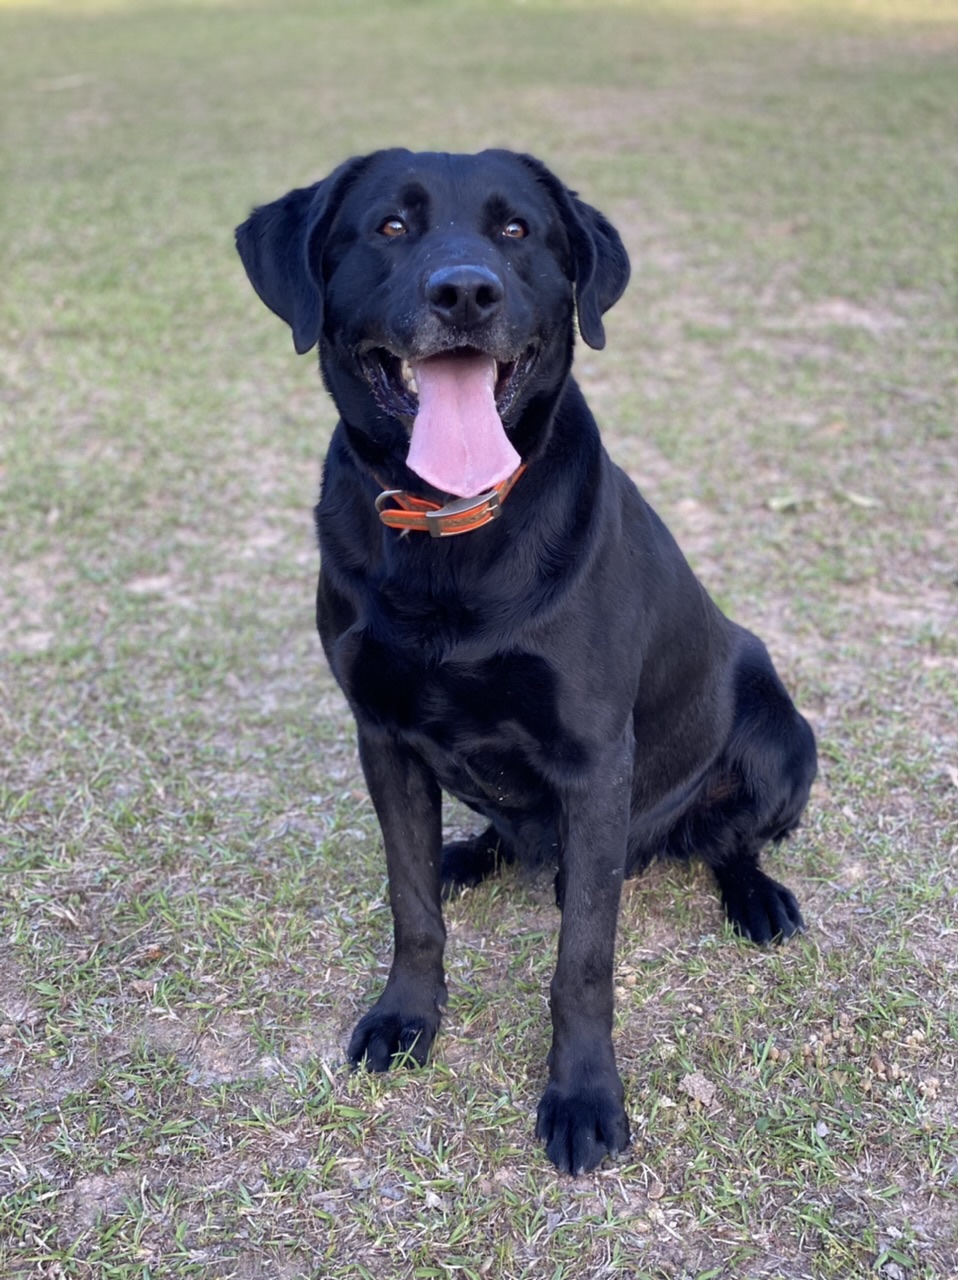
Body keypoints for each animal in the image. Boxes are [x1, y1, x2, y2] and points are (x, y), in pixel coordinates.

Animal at [234, 147, 814, 1172]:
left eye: (517, 230)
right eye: (391, 226)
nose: (466, 291)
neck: (452, 527)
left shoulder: (595, 762)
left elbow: (582, 960)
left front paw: (583, 1095)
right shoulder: (382, 736)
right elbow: (410, 902)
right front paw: (406, 1016)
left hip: (781, 732)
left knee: (730, 839)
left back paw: (756, 898)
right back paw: (470, 854)